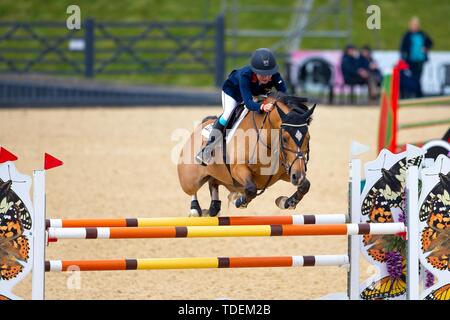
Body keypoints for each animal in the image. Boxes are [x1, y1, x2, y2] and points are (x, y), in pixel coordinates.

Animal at [178, 92, 314, 218]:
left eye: (308, 138)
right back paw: (195, 209)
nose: (298, 177)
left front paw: (285, 201)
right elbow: (251, 189)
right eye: (285, 139)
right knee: (192, 190)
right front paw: (236, 199)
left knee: (213, 184)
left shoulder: (288, 169)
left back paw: (214, 206)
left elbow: (305, 185)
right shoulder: (238, 168)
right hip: (189, 180)